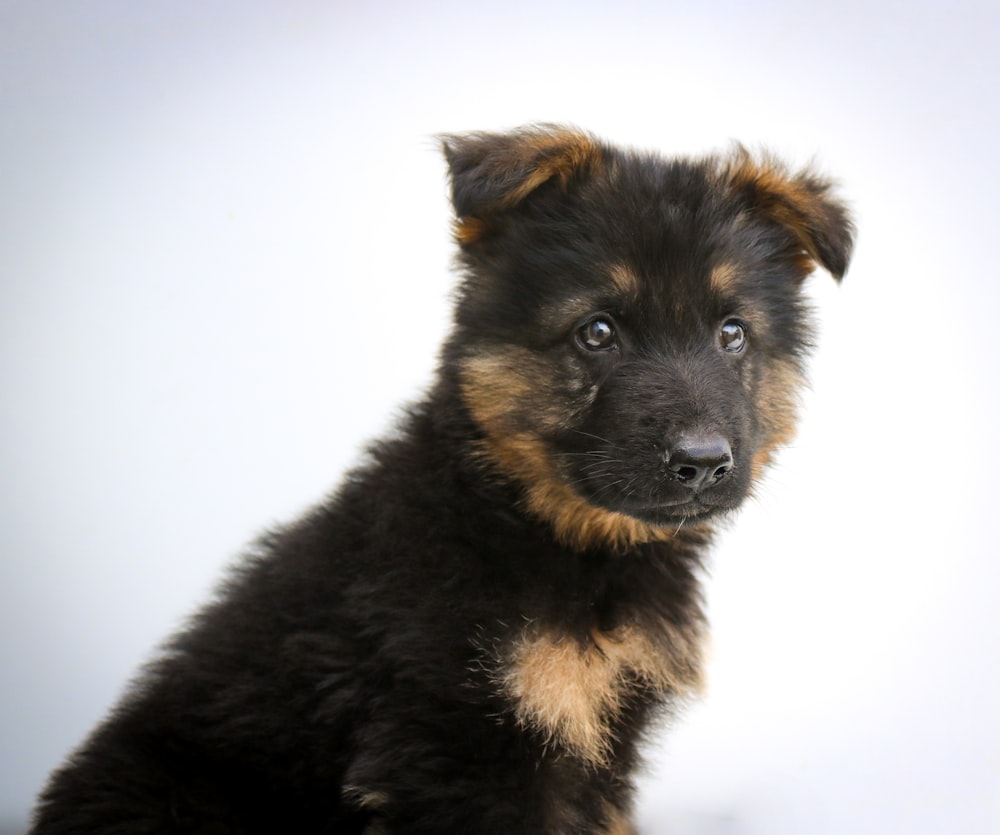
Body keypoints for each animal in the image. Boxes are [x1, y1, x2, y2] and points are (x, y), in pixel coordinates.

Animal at [29, 125, 852, 835]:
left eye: (732, 333)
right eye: (598, 331)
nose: (703, 461)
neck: (533, 521)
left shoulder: (599, 757)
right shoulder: (458, 745)